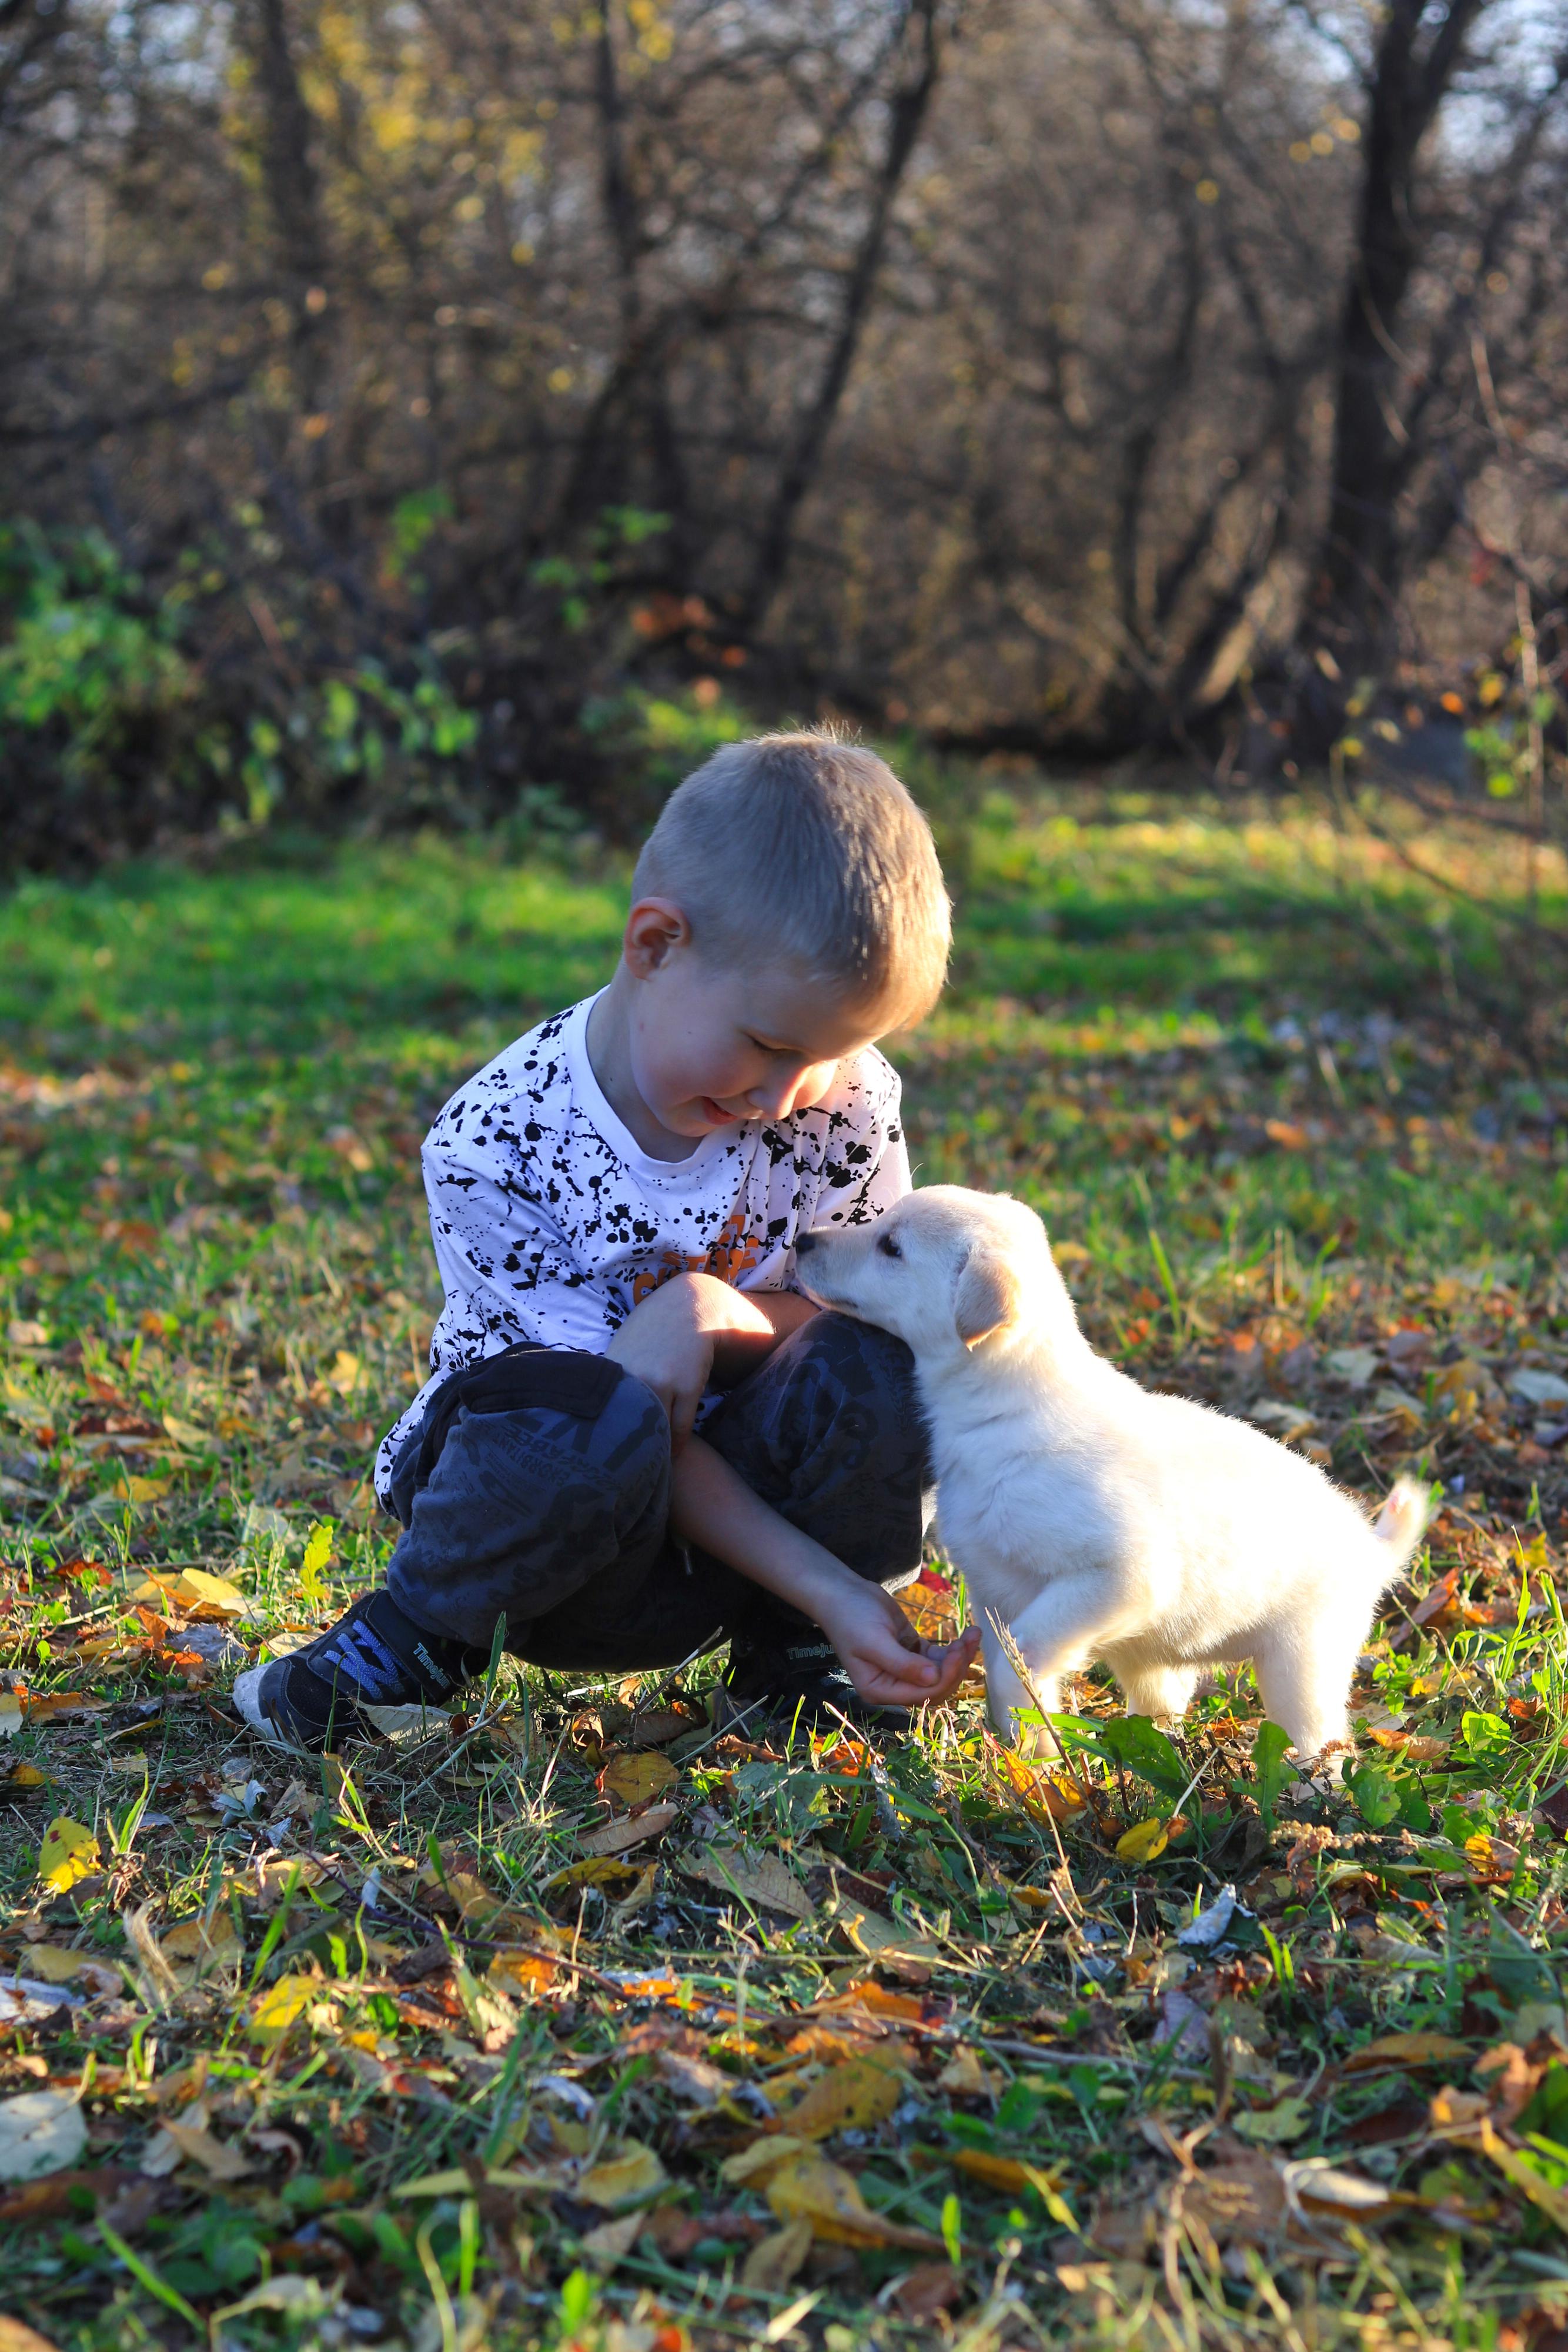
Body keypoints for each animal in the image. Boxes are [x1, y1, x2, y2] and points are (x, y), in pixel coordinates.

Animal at [804, 1195, 1429, 1769]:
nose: (803, 1240)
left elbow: (1017, 1663)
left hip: (1300, 1663)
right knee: (1162, 1708)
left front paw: (1037, 1761)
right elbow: (1010, 1675)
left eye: (891, 1247)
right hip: (1151, 1657)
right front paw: (1033, 1765)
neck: (1004, 1410)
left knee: (1321, 1742)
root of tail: (1369, 1548)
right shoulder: (994, 1593)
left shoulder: (1116, 1578)